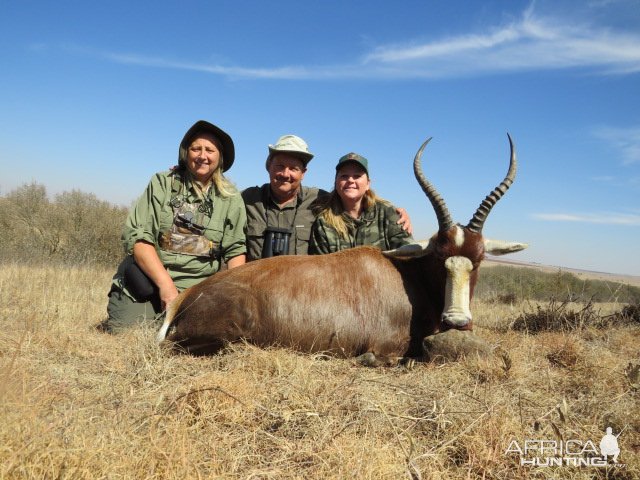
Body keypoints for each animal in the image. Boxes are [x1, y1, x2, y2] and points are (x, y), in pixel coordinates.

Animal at [158, 133, 528, 362]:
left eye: (478, 259)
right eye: (439, 256)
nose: (457, 321)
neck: (406, 275)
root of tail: (186, 299)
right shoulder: (388, 347)